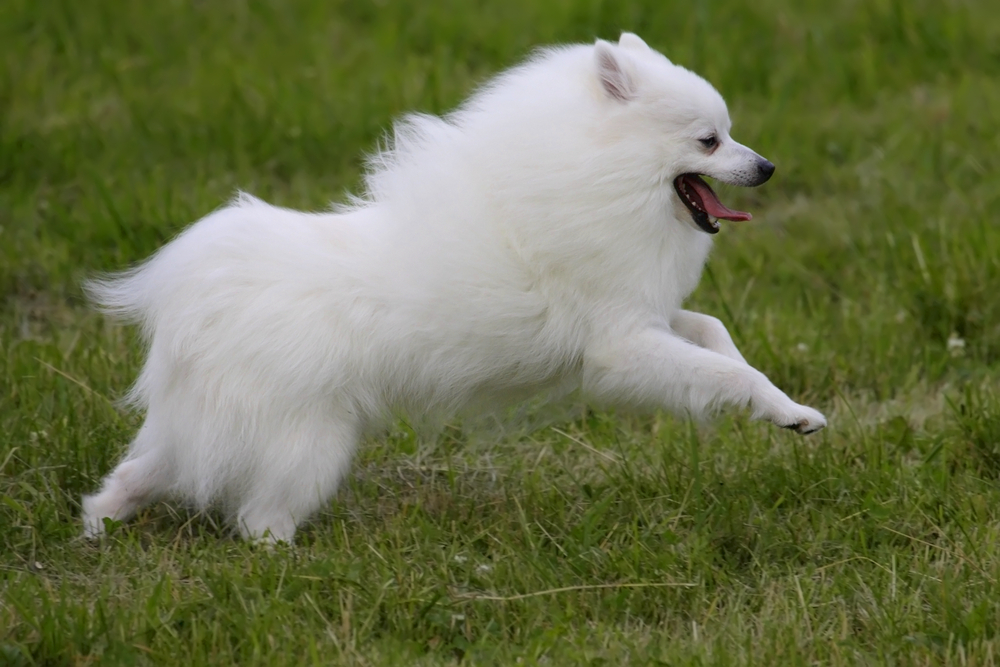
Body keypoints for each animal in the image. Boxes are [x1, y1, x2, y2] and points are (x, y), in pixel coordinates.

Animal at [80, 34, 828, 544]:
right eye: (709, 141)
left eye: (730, 134)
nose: (766, 166)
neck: (596, 178)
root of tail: (197, 293)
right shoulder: (620, 346)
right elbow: (721, 372)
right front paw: (786, 411)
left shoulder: (646, 316)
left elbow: (715, 336)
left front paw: (787, 409)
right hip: (308, 445)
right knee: (261, 517)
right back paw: (285, 558)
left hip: (207, 427)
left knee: (147, 469)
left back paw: (99, 520)